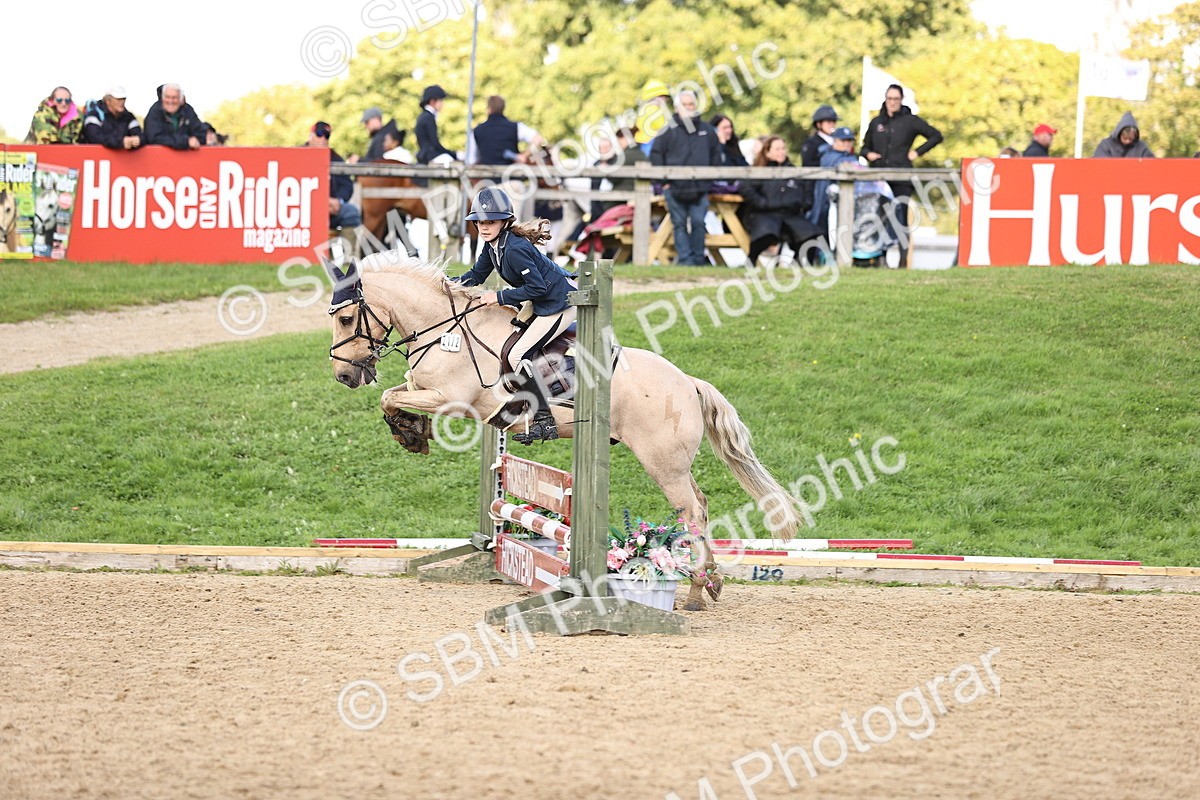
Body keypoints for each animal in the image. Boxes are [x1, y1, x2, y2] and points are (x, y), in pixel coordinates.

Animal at [324, 250, 804, 611]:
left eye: (346, 320)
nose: (344, 376)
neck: (445, 331)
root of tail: (687, 382)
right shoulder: (427, 390)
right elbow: (394, 394)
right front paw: (411, 431)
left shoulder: (452, 399)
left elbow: (391, 398)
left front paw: (411, 432)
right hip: (674, 464)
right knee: (700, 505)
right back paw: (709, 585)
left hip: (663, 465)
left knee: (693, 514)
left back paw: (696, 589)